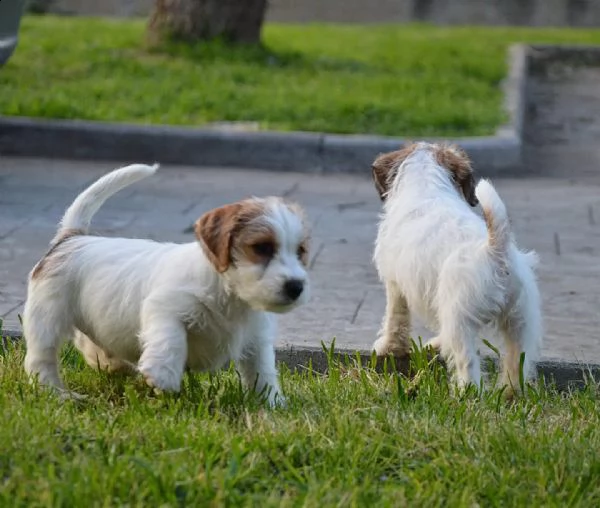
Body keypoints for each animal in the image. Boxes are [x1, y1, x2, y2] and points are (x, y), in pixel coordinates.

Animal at [22, 163, 310, 404]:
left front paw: (272, 404)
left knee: (90, 345)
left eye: (300, 251)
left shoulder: (256, 340)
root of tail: (71, 238)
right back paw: (60, 394)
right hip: (47, 317)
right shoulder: (166, 307)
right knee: (41, 360)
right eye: (261, 247)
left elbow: (262, 372)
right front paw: (163, 375)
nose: (296, 287)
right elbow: (172, 336)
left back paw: (116, 366)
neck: (231, 295)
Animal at [370, 143, 544, 392]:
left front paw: (388, 347)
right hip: (520, 322)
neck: (426, 183)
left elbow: (395, 319)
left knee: (468, 365)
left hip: (459, 319)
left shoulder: (395, 285)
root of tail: (496, 250)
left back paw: (466, 393)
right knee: (518, 364)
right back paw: (509, 393)